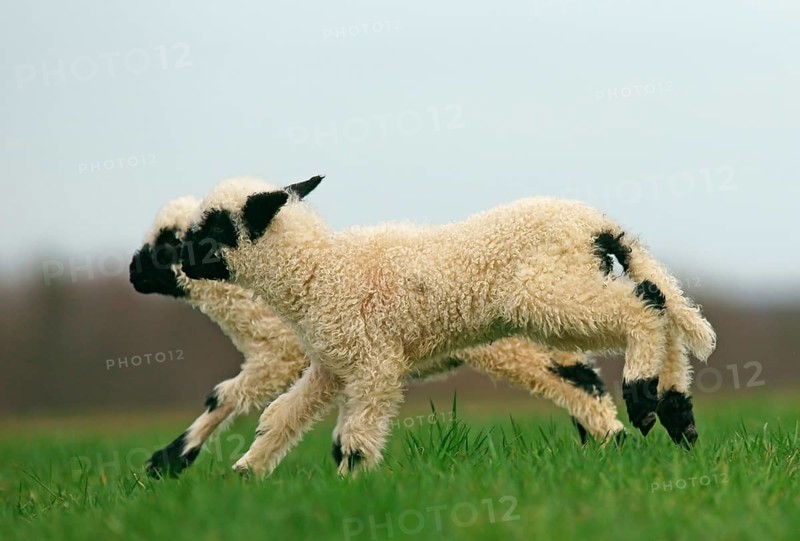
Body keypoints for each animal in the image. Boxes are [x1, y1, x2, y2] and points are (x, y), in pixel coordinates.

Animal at [179, 175, 715, 477]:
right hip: (571, 283)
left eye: (215, 229)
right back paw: (674, 413)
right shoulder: (333, 365)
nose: (180, 260)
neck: (318, 271)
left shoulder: (373, 365)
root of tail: (597, 225)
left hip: (548, 294)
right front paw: (246, 474)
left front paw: (352, 488)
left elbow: (353, 439)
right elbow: (282, 417)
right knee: (658, 297)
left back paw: (642, 393)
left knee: (642, 307)